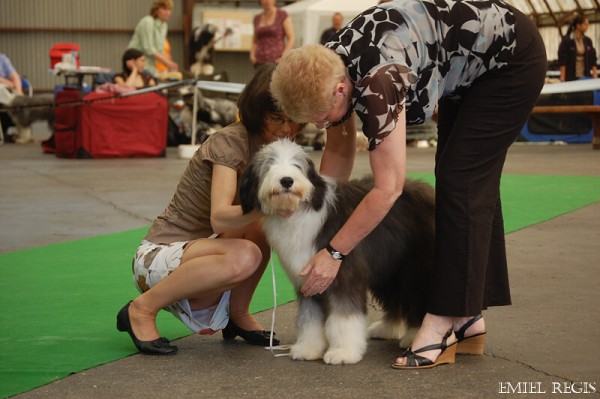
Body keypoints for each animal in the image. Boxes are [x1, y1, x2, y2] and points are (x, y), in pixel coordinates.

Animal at [240, 141, 436, 366]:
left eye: (297, 165)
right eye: (269, 165)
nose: (287, 180)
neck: (301, 211)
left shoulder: (343, 276)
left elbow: (344, 318)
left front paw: (343, 352)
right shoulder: (308, 281)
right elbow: (310, 318)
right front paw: (308, 348)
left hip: (417, 266)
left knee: (418, 297)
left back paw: (414, 336)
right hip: (389, 267)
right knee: (395, 297)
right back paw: (387, 328)